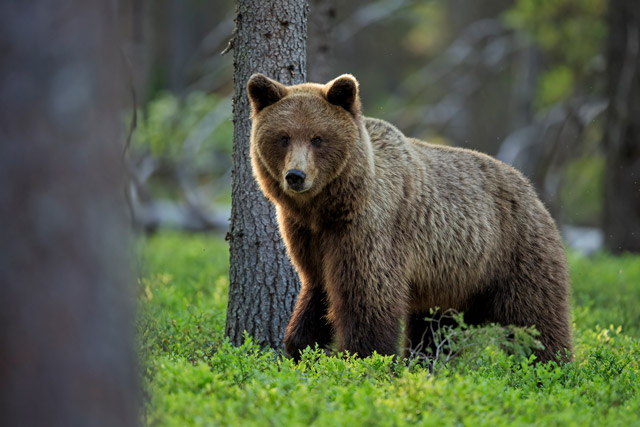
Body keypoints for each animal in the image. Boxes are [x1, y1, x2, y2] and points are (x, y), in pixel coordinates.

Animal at [246, 72, 572, 363]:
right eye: (283, 137)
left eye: (318, 138)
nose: (296, 176)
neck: (330, 207)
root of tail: (530, 188)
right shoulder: (308, 235)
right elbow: (318, 287)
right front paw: (301, 346)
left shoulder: (368, 230)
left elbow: (368, 299)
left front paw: (363, 359)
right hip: (453, 283)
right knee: (435, 330)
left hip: (514, 252)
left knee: (535, 319)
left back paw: (552, 368)